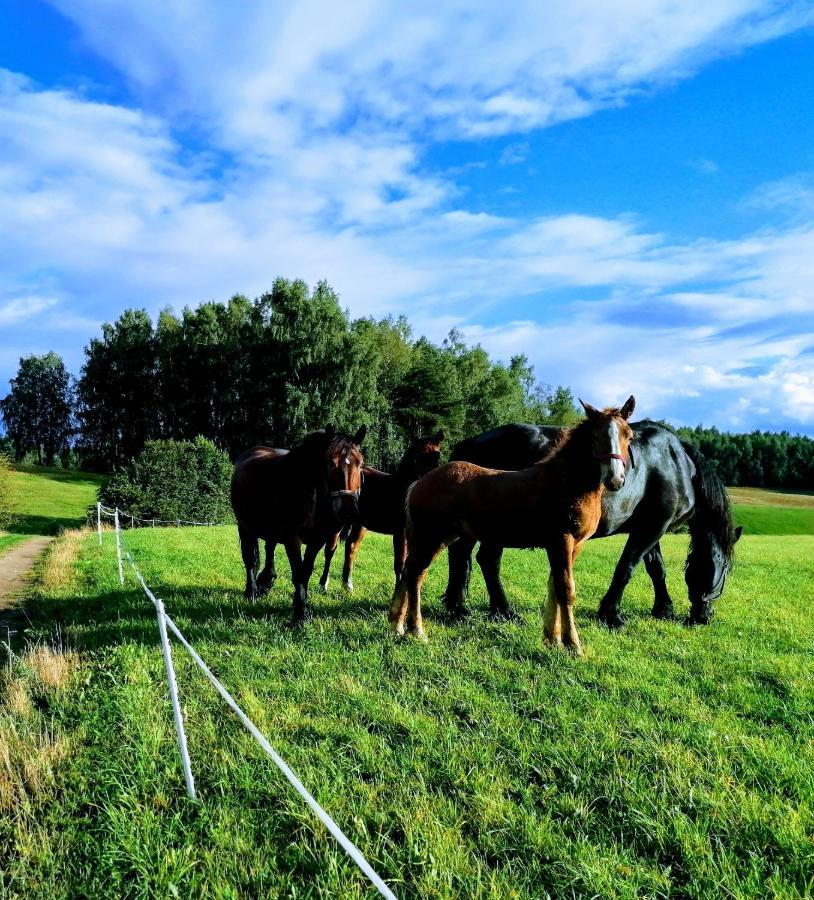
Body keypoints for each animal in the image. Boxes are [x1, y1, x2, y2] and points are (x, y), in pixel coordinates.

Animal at [231, 424, 368, 624]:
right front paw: (299, 615)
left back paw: (267, 580)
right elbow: (297, 573)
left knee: (269, 548)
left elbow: (306, 572)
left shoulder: (317, 540)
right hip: (244, 526)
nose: (348, 511)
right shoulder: (292, 538)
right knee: (249, 558)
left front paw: (302, 607)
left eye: (360, 464)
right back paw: (252, 591)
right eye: (330, 463)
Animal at [318, 432, 446, 596]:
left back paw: (348, 584)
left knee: (351, 546)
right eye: (418, 456)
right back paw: (324, 584)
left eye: (437, 455)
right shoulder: (400, 533)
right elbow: (400, 563)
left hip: (360, 524)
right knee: (330, 549)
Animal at [392, 398, 640, 652]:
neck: (566, 483)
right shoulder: (561, 539)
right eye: (595, 436)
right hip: (431, 536)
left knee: (410, 572)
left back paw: (398, 626)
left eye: (629, 436)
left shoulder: (574, 545)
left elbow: (554, 586)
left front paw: (552, 639)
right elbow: (566, 589)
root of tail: (418, 483)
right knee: (415, 575)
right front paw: (573, 646)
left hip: (440, 537)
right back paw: (417, 631)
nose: (615, 479)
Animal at [444, 416, 744, 624]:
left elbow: (656, 569)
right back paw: (502, 610)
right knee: (487, 560)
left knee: (463, 557)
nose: (704, 616)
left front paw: (663, 609)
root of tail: (471, 443)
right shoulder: (653, 527)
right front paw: (611, 614)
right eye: (726, 569)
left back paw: (459, 607)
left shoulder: (649, 527)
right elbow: (626, 568)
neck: (675, 462)